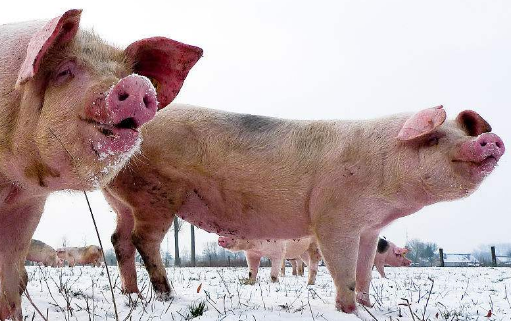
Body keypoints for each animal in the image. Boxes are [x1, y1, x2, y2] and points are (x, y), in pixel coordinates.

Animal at [103, 104, 504, 314]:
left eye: (464, 135)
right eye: (433, 138)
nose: (490, 138)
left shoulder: (370, 229)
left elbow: (365, 271)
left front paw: (367, 307)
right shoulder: (334, 218)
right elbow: (343, 270)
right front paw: (348, 311)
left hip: (120, 200)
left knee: (118, 240)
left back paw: (130, 295)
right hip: (153, 194)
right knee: (143, 240)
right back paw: (167, 296)